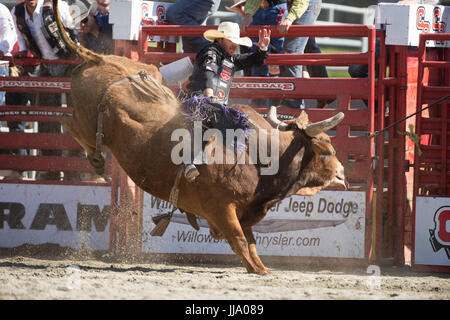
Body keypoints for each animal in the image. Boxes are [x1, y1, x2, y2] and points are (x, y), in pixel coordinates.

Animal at [53, 0, 348, 276]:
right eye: (328, 150)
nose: (343, 174)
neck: (259, 154)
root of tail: (100, 59)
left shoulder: (245, 210)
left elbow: (251, 241)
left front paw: (261, 268)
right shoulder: (222, 207)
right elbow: (239, 239)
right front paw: (254, 267)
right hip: (91, 118)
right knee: (70, 123)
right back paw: (96, 159)